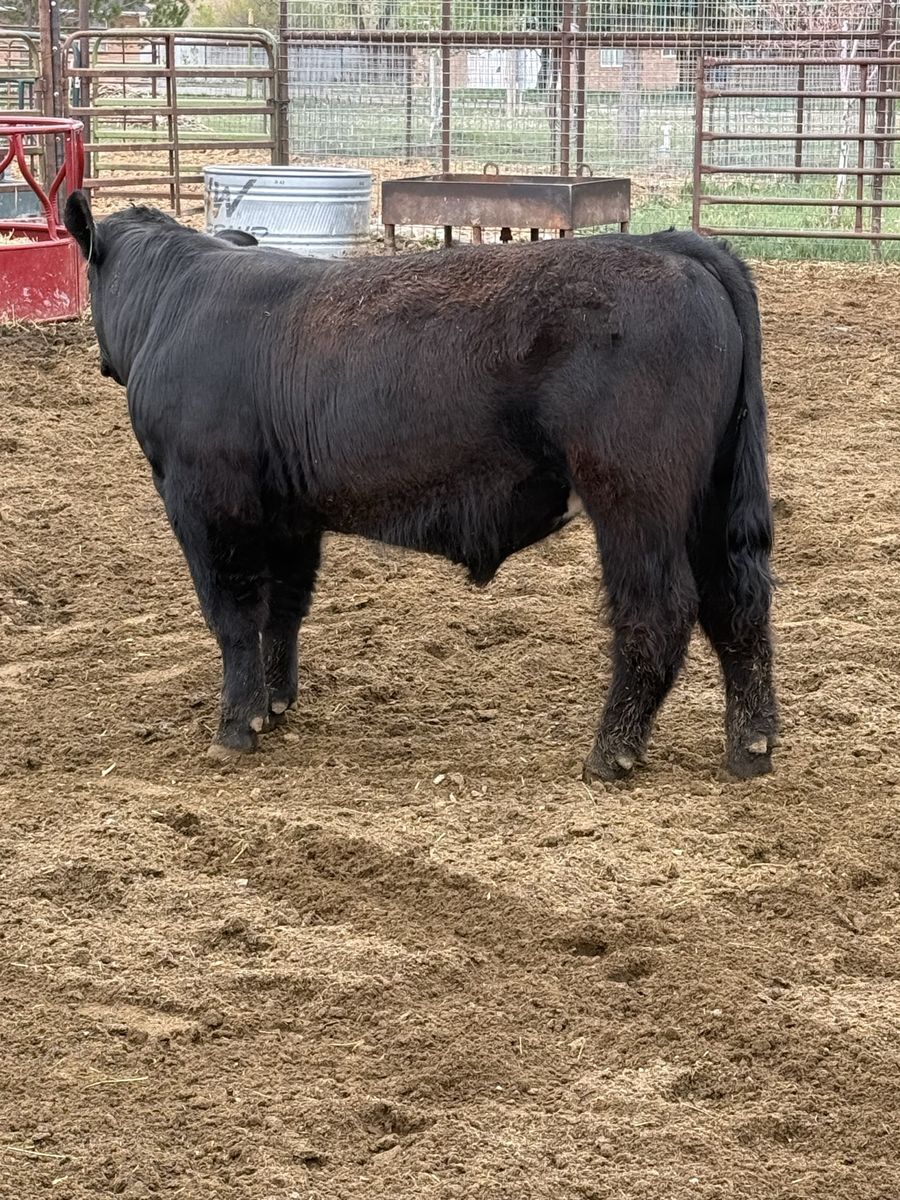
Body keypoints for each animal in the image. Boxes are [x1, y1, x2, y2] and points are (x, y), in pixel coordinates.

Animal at [64, 191, 778, 782]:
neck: (176, 303)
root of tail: (675, 244)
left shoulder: (208, 504)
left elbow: (235, 616)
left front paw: (237, 726)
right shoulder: (291, 516)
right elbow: (284, 609)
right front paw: (277, 703)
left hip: (634, 495)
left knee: (660, 610)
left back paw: (612, 754)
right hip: (714, 495)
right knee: (737, 600)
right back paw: (751, 747)